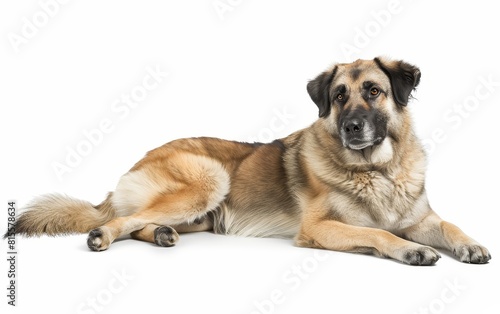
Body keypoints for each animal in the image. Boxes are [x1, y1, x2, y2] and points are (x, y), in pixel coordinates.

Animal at [6, 57, 492, 264]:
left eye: (373, 91)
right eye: (339, 97)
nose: (353, 127)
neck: (377, 169)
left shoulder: (421, 216)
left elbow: (448, 225)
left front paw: (469, 244)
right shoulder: (321, 228)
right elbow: (381, 234)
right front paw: (412, 250)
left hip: (201, 214)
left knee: (142, 221)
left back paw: (160, 234)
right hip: (209, 180)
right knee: (120, 220)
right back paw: (103, 235)